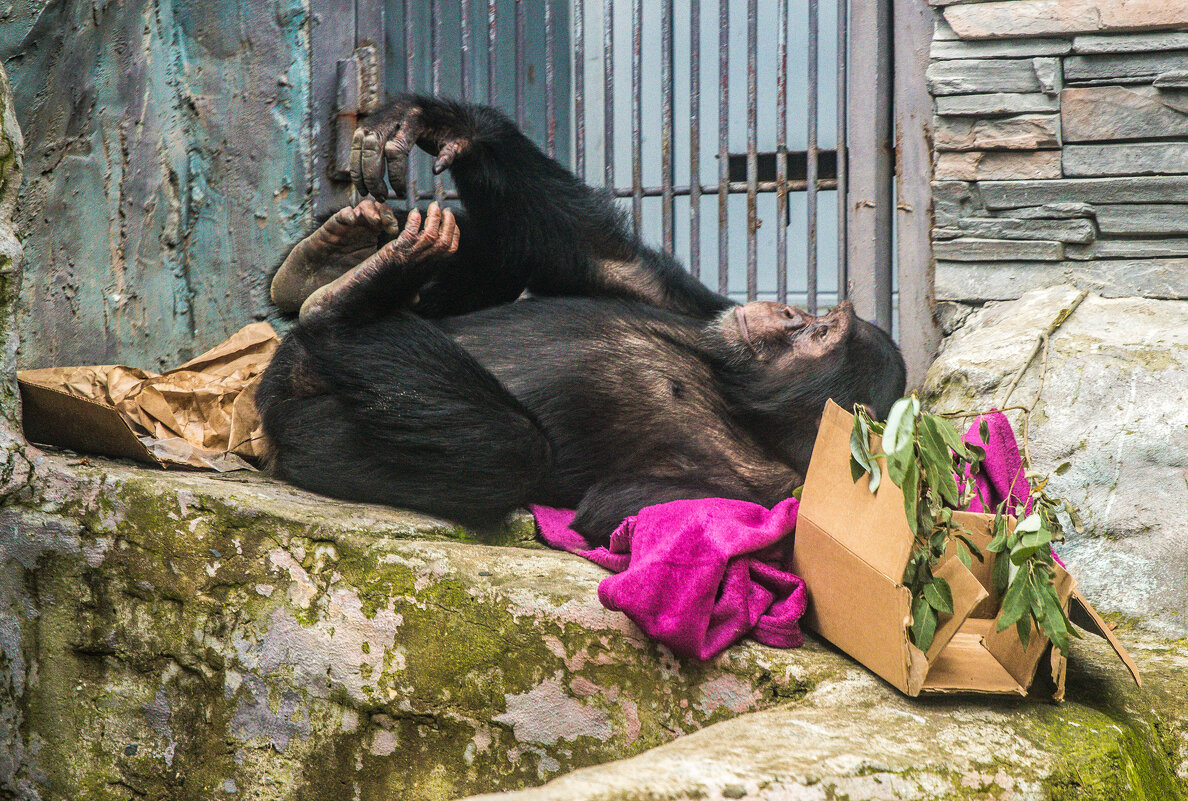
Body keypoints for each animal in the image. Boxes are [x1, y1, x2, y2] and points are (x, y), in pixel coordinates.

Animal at [260, 95, 902, 541]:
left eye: (819, 333)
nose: (791, 309)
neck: (738, 397)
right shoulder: (702, 309)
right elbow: (606, 259)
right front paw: (435, 122)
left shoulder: (768, 491)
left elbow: (613, 511)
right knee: (510, 245)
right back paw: (330, 260)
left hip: (307, 428)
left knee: (508, 451)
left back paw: (344, 303)